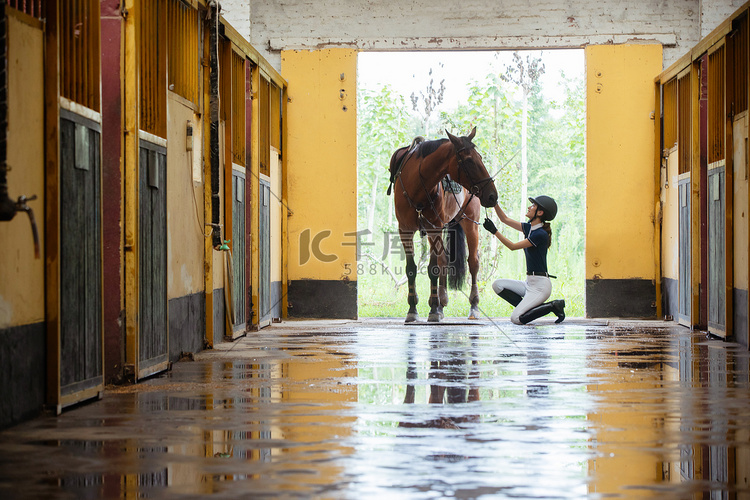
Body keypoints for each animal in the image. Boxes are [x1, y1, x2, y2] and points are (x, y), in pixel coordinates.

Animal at [388, 129, 500, 322]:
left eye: (480, 157)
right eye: (469, 160)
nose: (492, 195)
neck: (417, 185)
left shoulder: (434, 229)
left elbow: (433, 268)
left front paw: (433, 308)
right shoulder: (405, 230)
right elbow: (411, 268)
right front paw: (413, 309)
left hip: (470, 224)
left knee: (473, 262)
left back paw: (473, 305)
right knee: (444, 261)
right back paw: (442, 303)